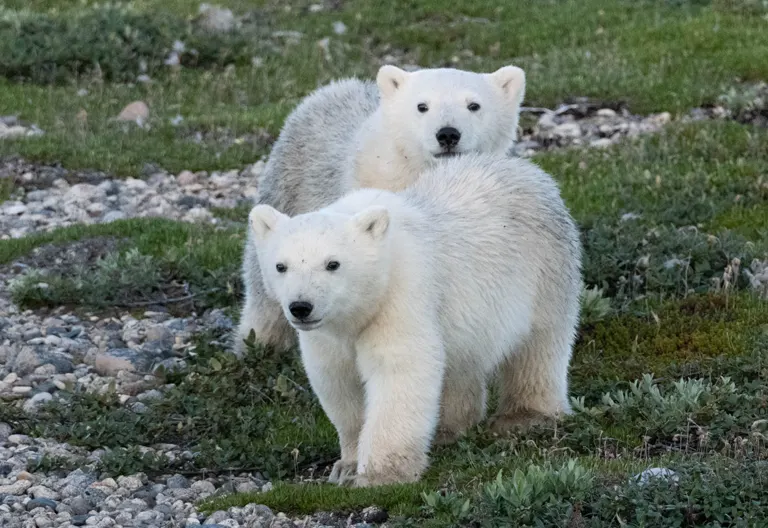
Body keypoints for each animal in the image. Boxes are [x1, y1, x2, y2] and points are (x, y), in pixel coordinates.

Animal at [246, 153, 583, 487]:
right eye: (281, 266)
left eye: (333, 264)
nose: (300, 307)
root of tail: (527, 169)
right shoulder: (327, 332)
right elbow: (337, 379)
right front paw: (347, 466)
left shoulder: (402, 294)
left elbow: (399, 372)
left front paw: (381, 475)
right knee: (461, 364)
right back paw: (449, 427)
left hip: (545, 271)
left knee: (539, 345)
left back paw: (524, 415)